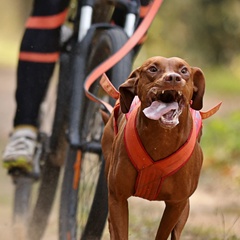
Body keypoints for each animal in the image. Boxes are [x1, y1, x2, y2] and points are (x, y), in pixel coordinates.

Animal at [101, 55, 206, 238]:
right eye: (153, 69)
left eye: (184, 70)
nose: (173, 78)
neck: (161, 140)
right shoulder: (117, 198)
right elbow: (120, 232)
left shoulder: (176, 204)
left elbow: (163, 234)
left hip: (184, 209)